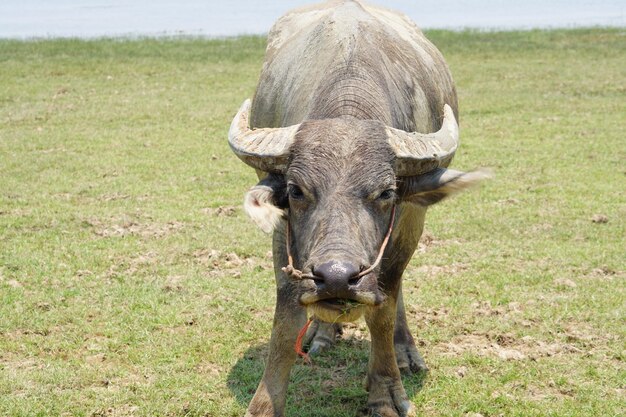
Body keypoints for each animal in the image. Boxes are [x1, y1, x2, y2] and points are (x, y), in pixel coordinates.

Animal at [227, 0, 486, 416]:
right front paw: (264, 404)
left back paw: (404, 351)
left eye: (385, 192)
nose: (336, 277)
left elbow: (384, 303)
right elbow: (287, 313)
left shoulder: (408, 221)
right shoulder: (284, 234)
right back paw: (322, 332)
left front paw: (386, 390)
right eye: (296, 190)